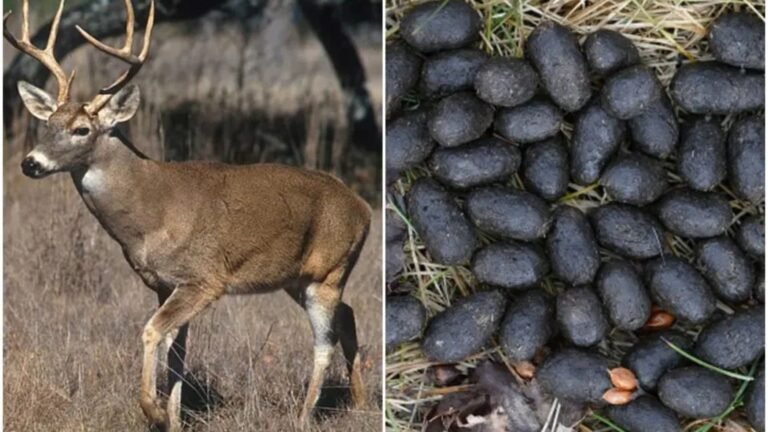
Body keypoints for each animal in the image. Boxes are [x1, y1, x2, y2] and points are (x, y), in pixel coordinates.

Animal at [3, 0, 372, 430]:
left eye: (81, 129)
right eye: (48, 123)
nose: (30, 163)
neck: (150, 215)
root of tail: (363, 207)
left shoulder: (204, 278)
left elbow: (152, 332)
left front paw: (155, 411)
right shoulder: (164, 283)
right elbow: (178, 352)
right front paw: (175, 417)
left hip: (329, 271)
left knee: (324, 343)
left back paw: (302, 416)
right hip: (297, 279)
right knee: (347, 316)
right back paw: (360, 403)